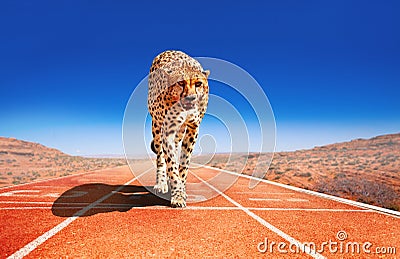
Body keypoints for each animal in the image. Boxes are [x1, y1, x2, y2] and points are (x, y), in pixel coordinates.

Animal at [147, 50, 209, 209]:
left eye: (198, 84)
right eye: (180, 83)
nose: (191, 98)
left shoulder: (193, 128)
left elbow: (184, 163)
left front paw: (181, 190)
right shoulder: (167, 131)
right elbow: (171, 163)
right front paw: (178, 195)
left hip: (179, 131)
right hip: (157, 127)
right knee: (161, 156)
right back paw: (161, 183)